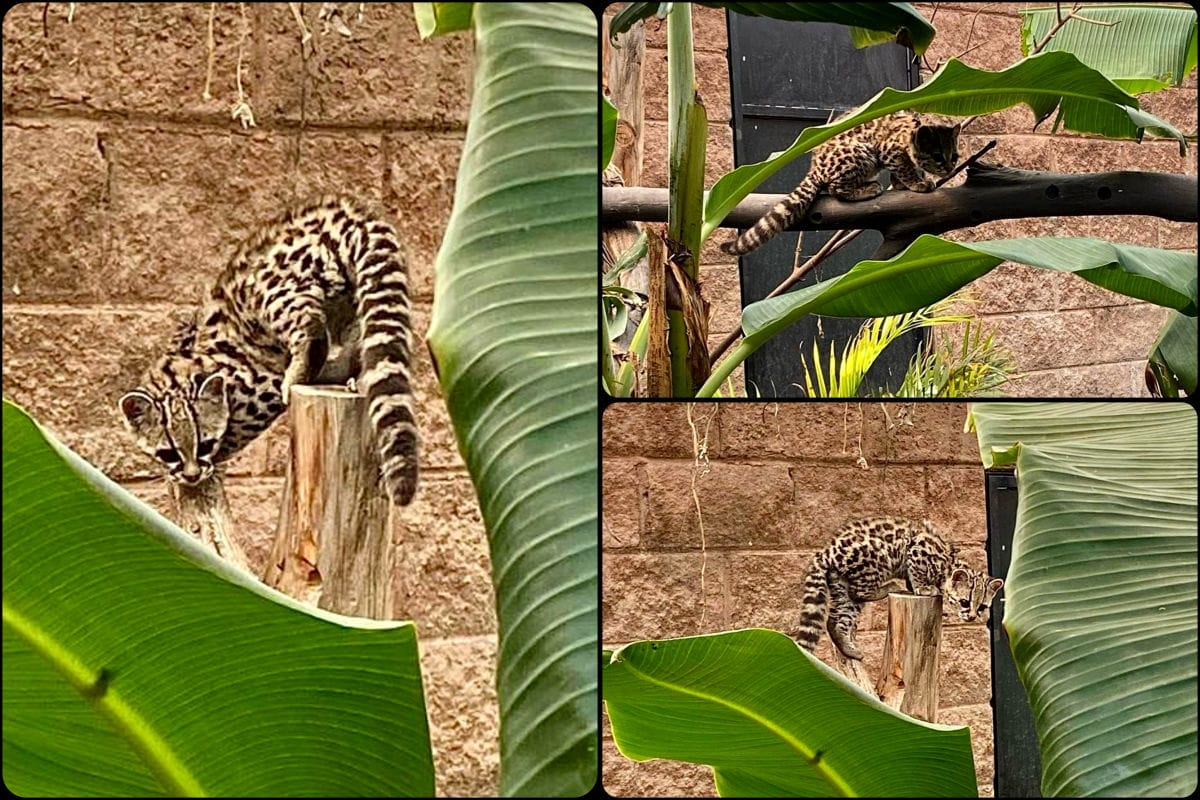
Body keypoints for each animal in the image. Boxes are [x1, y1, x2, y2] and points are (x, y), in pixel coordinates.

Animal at [117, 194, 417, 503]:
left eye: (205, 444)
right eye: (169, 453)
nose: (191, 475)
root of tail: (354, 217)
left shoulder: (255, 390)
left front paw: (210, 465)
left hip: (274, 288)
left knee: (312, 332)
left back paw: (308, 369)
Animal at [720, 112, 964, 255]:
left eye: (954, 157)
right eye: (937, 156)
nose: (949, 169)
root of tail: (815, 167)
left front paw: (906, 183)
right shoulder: (889, 149)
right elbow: (905, 167)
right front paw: (917, 183)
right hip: (861, 153)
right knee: (836, 189)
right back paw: (868, 189)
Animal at [796, 515, 1003, 662]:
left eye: (982, 607)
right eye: (964, 602)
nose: (972, 617)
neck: (948, 566)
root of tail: (826, 551)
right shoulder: (917, 550)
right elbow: (917, 574)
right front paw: (923, 588)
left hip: (840, 582)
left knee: (836, 617)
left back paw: (847, 646)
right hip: (878, 555)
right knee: (858, 592)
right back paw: (891, 586)